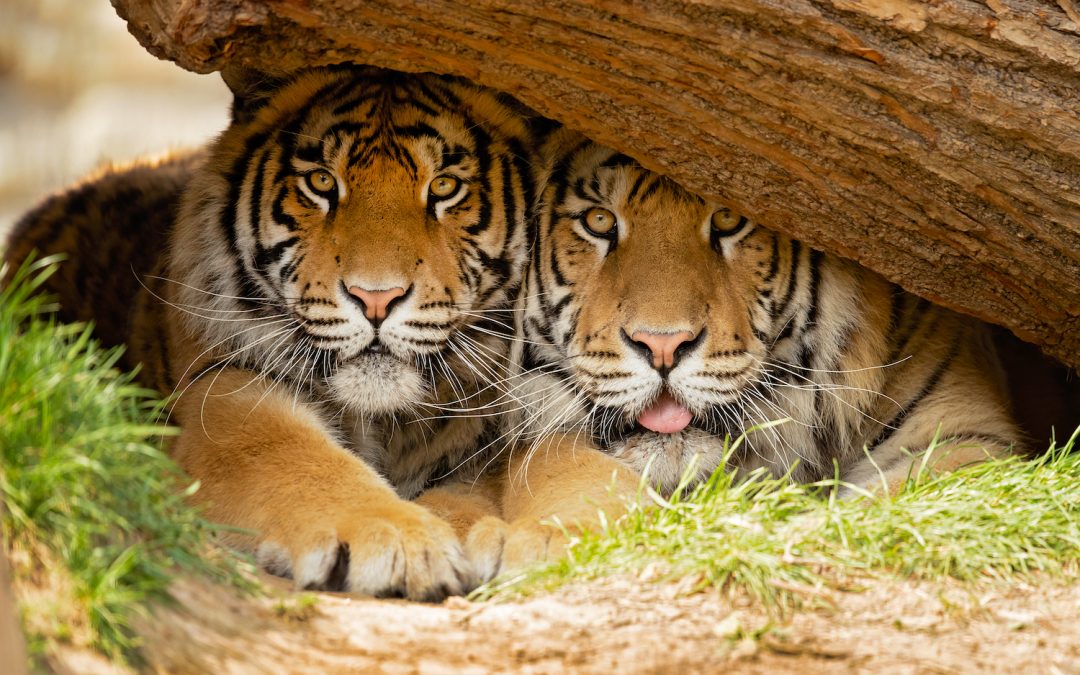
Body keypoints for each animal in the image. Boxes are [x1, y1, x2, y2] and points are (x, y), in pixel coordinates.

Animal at [3, 66, 540, 600]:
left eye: (445, 187)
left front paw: (478, 535)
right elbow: (296, 458)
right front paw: (399, 540)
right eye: (321, 182)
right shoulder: (221, 393)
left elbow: (471, 488)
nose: (376, 298)